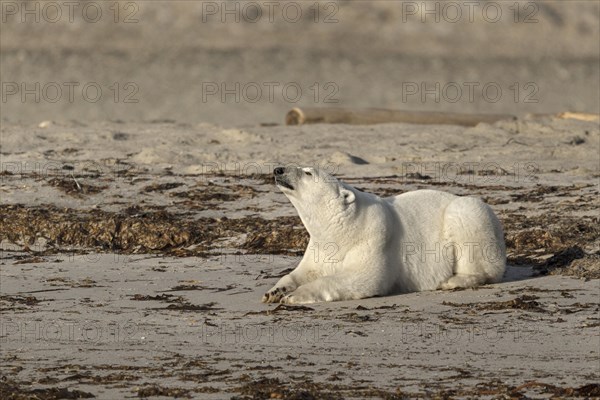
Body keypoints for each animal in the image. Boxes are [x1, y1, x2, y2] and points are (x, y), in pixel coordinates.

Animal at [262, 166, 506, 304]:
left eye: (307, 172)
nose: (278, 169)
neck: (344, 228)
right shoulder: (320, 247)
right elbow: (304, 271)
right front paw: (275, 291)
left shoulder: (373, 237)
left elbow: (363, 277)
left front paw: (294, 296)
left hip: (473, 217)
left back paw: (453, 280)